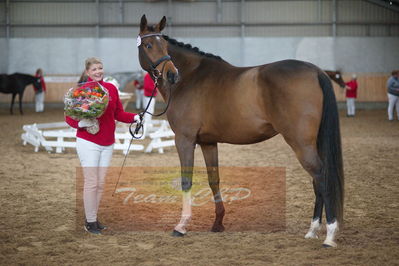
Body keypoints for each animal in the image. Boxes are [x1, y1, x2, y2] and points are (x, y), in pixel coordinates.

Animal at [138, 14, 344, 247]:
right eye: (148, 45)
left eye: (164, 45)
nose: (172, 74)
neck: (190, 78)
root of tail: (316, 71)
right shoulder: (208, 142)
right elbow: (214, 179)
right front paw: (218, 223)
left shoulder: (184, 139)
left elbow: (186, 180)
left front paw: (181, 226)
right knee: (317, 181)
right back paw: (313, 230)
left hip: (301, 143)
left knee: (321, 177)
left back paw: (329, 235)